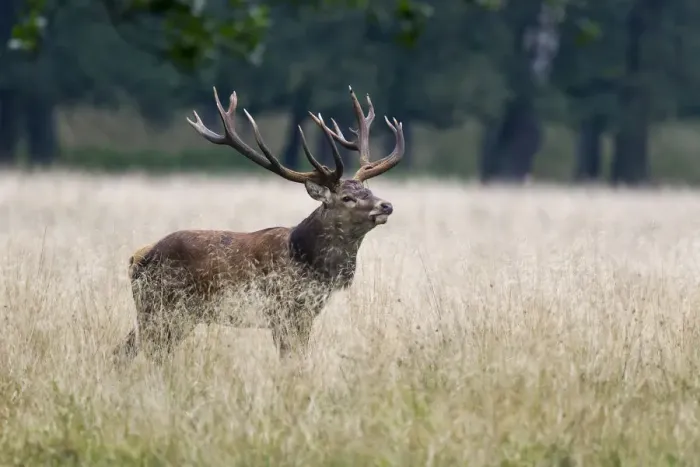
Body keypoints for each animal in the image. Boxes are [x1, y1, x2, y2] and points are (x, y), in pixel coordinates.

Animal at [112, 85, 404, 364]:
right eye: (346, 198)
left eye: (369, 191)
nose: (386, 205)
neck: (309, 263)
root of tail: (137, 257)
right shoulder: (283, 308)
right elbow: (291, 359)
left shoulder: (306, 312)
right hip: (159, 305)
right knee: (139, 350)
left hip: (177, 313)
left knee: (131, 349)